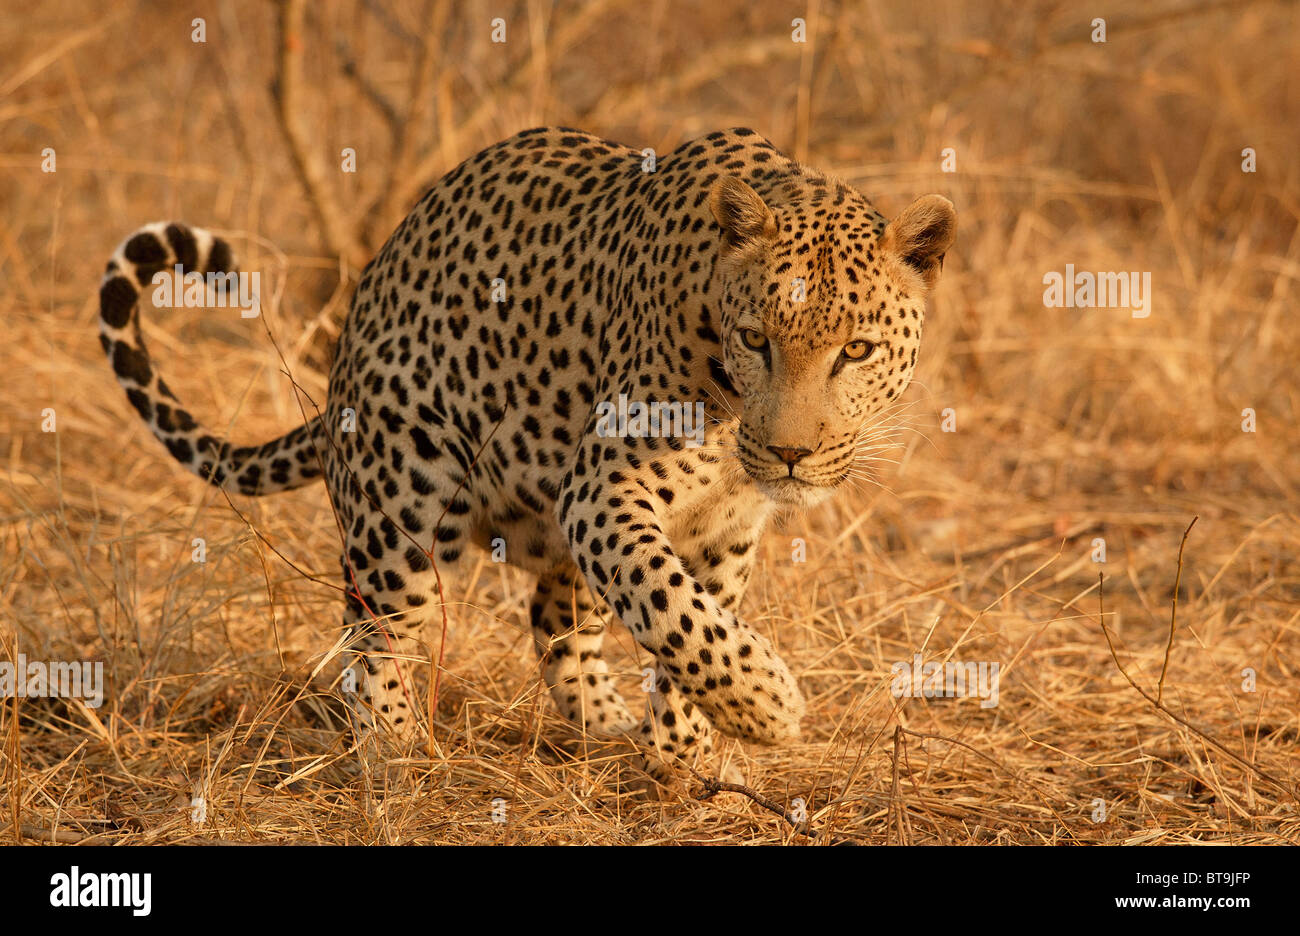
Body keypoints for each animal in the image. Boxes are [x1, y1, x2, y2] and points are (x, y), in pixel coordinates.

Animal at [96, 126, 956, 780]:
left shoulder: (725, 530)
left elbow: (691, 625)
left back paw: (605, 728)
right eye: (756, 340)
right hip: (404, 502)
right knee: (373, 628)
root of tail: (352, 328)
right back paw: (394, 753)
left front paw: (685, 752)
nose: (788, 454)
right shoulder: (604, 490)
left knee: (555, 619)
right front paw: (766, 705)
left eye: (856, 350)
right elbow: (674, 607)